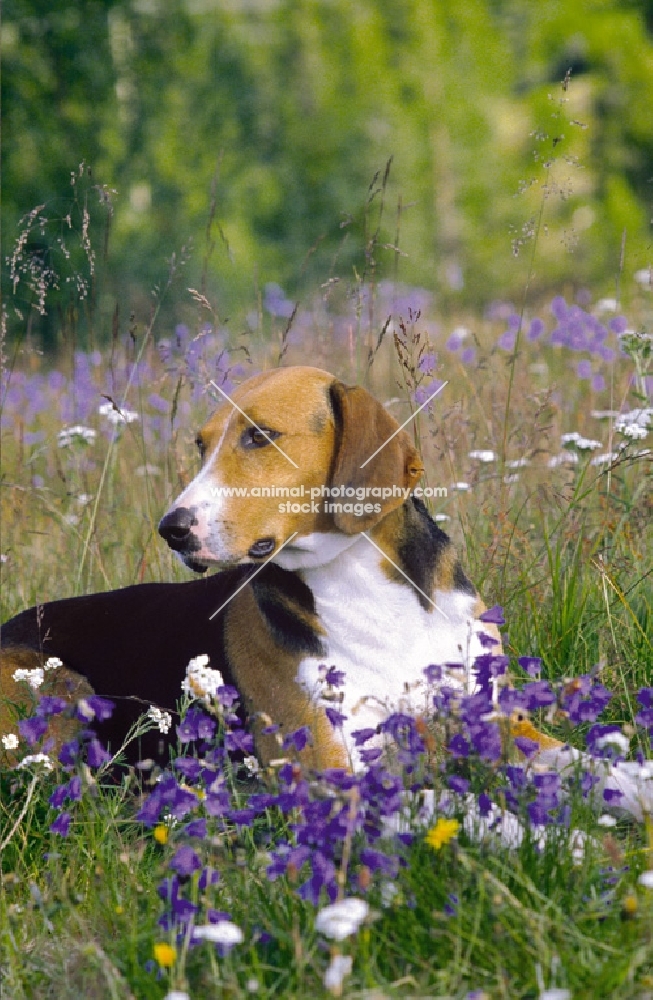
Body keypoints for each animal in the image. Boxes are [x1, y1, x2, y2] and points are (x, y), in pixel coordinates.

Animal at [1, 372, 500, 768]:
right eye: (201, 445)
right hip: (64, 684)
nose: (171, 530)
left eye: (259, 436)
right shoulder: (331, 767)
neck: (360, 582)